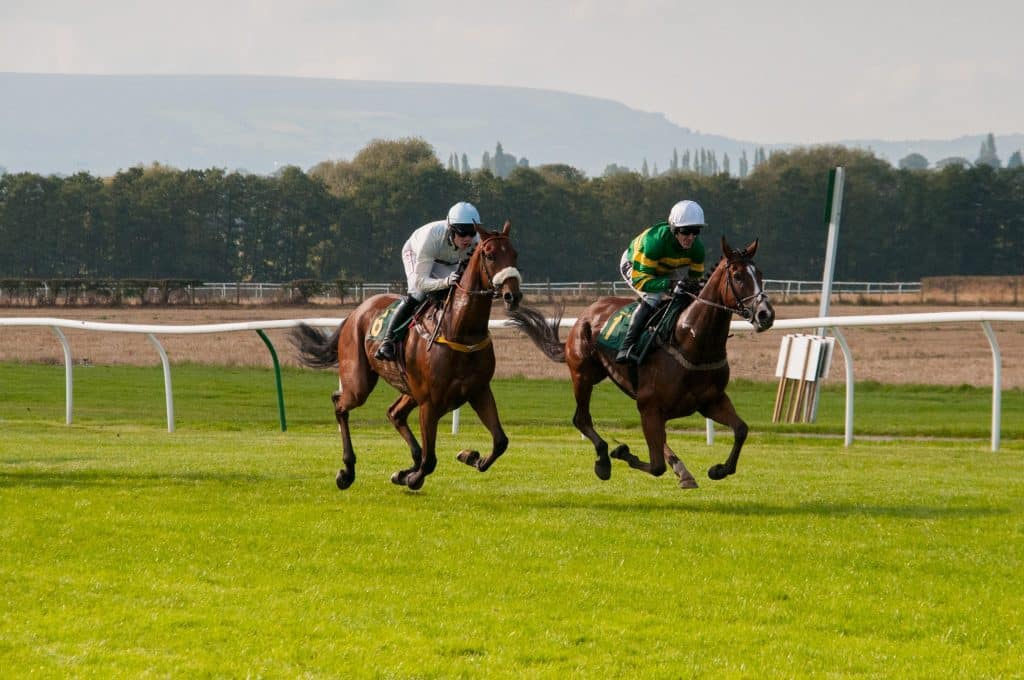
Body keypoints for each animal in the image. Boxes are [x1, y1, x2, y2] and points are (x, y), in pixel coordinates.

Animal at [292, 220, 524, 491]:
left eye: (514, 254)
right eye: (489, 255)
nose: (513, 295)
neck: (459, 330)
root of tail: (354, 313)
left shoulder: (478, 391)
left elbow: (500, 441)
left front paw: (470, 456)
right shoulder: (430, 402)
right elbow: (430, 460)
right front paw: (414, 477)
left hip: (409, 388)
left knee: (394, 413)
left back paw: (403, 468)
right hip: (359, 382)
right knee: (340, 404)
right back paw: (348, 471)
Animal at [507, 236, 770, 485]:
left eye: (760, 274)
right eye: (737, 276)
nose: (766, 314)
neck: (691, 341)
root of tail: (584, 315)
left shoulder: (711, 401)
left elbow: (741, 430)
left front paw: (719, 469)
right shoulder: (650, 406)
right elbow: (656, 466)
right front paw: (621, 452)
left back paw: (681, 471)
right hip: (583, 374)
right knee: (581, 418)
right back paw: (604, 460)